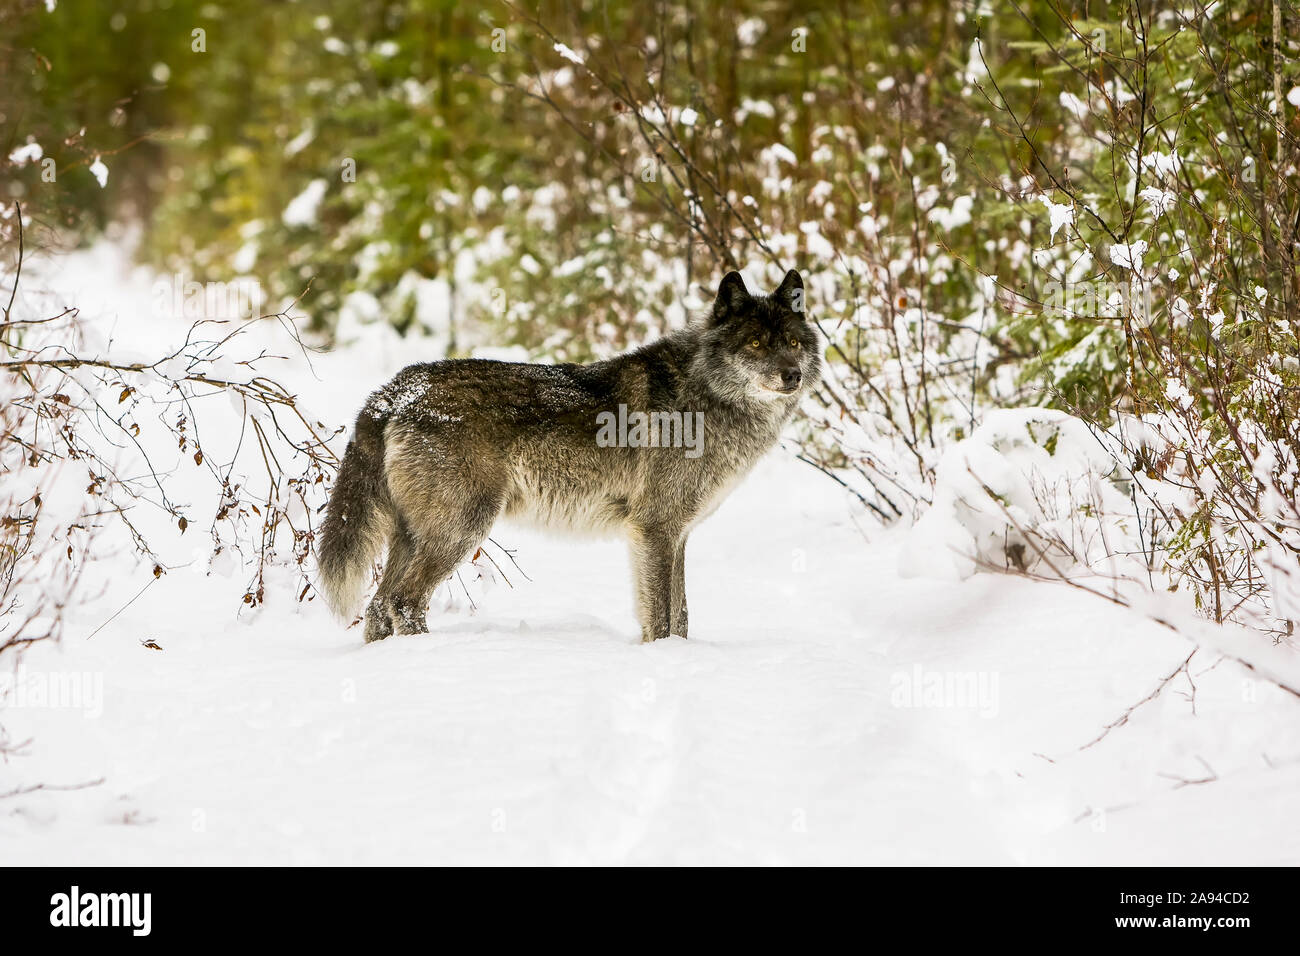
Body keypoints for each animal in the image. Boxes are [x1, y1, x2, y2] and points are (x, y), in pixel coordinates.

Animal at [315, 269, 816, 642]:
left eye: (793, 343)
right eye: (755, 343)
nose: (792, 375)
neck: (704, 395)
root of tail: (395, 390)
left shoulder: (677, 534)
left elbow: (682, 617)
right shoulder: (656, 529)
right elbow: (661, 617)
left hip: (413, 535)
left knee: (378, 608)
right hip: (462, 529)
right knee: (402, 603)